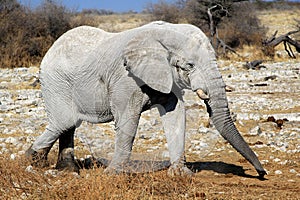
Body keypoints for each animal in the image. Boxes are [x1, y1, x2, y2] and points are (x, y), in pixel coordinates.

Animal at [24, 21, 266, 178]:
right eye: (189, 65)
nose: (262, 173)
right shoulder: (125, 78)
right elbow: (128, 122)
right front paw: (112, 174)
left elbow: (176, 115)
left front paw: (180, 174)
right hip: (54, 82)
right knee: (64, 121)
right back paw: (31, 160)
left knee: (69, 124)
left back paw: (66, 170)